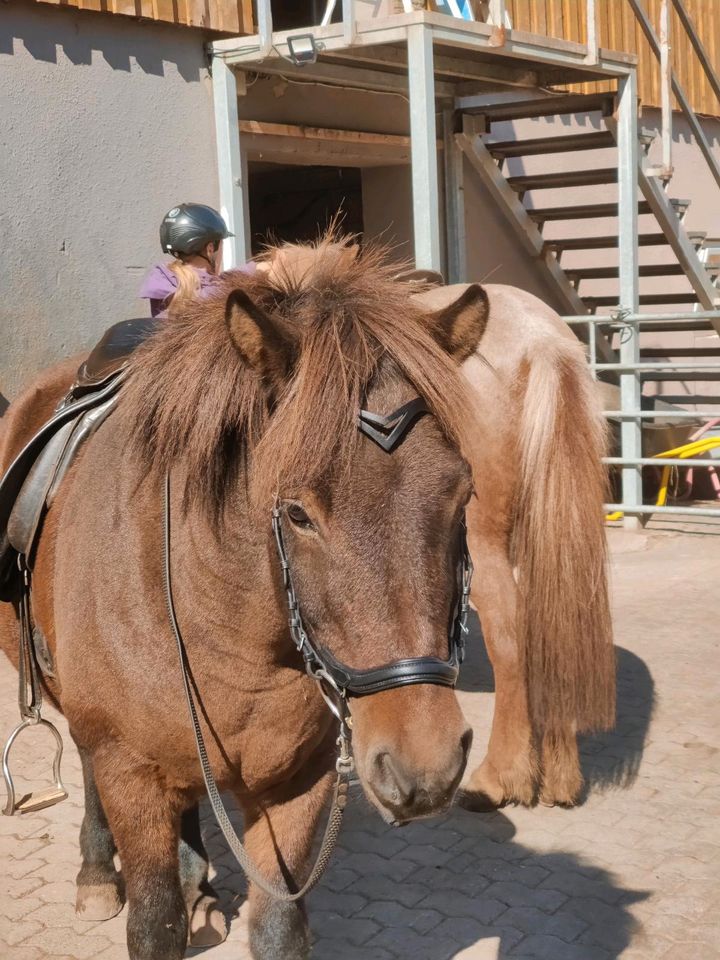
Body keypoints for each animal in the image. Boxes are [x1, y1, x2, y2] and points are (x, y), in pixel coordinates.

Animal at [0, 240, 612, 960]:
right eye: (297, 513)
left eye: (461, 492)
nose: (425, 764)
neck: (227, 632)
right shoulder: (129, 770)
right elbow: (154, 923)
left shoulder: (299, 784)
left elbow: (277, 928)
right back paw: (99, 871)